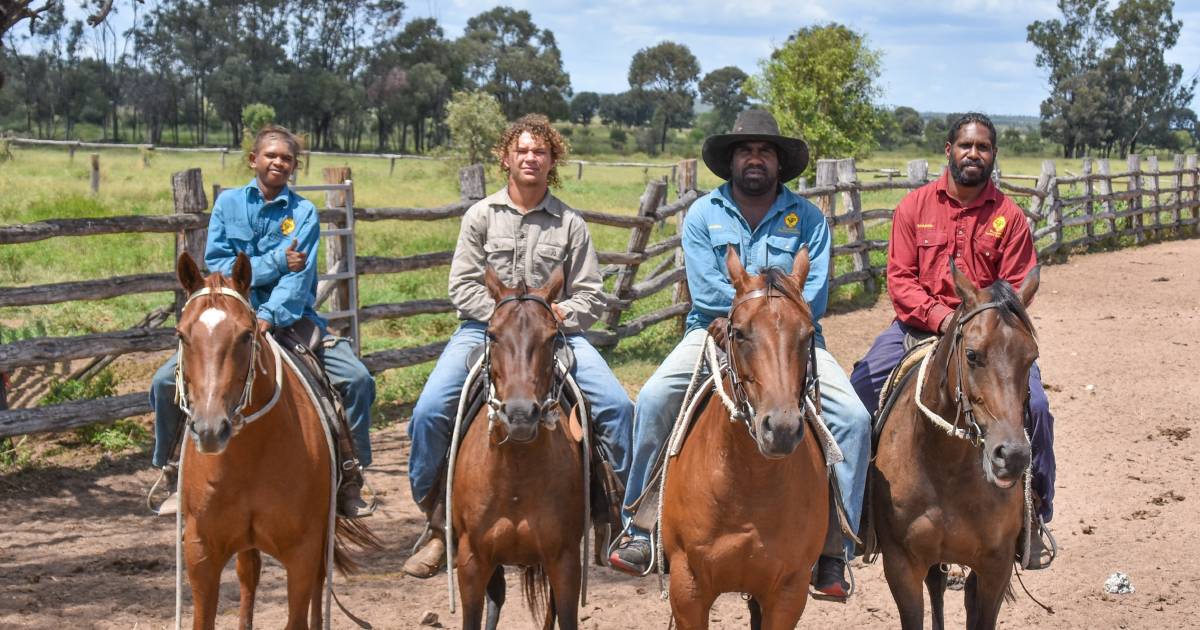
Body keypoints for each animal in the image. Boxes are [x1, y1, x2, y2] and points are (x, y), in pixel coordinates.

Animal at [174, 252, 376, 628]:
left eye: (245, 335)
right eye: (181, 335)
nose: (210, 428)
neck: (250, 456)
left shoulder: (302, 552)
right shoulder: (201, 551)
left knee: (318, 585)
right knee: (248, 575)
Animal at [451, 265, 585, 628]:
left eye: (552, 337)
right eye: (493, 334)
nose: (521, 415)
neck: (515, 478)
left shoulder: (565, 562)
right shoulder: (471, 563)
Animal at [662, 247, 830, 628]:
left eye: (807, 334)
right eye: (738, 333)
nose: (781, 429)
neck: (750, 482)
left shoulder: (787, 593)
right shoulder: (687, 589)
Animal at [873, 264, 1041, 628]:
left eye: (1031, 357)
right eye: (972, 355)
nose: (1012, 456)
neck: (946, 466)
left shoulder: (996, 565)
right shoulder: (901, 565)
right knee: (937, 586)